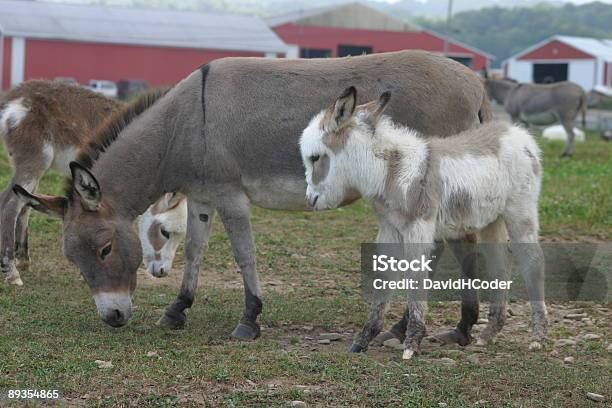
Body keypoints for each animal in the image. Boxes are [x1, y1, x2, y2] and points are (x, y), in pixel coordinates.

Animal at [302, 87, 548, 358]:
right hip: (490, 220)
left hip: (520, 212)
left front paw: (412, 343)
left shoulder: (418, 230)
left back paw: (537, 337)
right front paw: (363, 340)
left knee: (533, 263)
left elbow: (416, 279)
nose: (310, 200)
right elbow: (383, 281)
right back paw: (489, 333)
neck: (391, 171)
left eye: (315, 158)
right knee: (500, 264)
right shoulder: (389, 230)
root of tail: (517, 133)